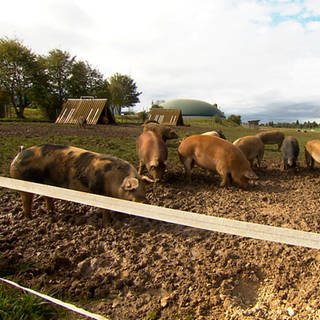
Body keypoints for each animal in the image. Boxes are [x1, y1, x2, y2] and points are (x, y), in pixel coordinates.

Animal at [10, 144, 149, 218]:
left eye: (144, 188)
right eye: (133, 189)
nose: (144, 201)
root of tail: (20, 153)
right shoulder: (98, 191)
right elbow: (105, 210)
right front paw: (107, 223)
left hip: (46, 185)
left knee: (47, 198)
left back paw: (51, 213)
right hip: (22, 182)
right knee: (26, 200)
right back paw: (29, 217)